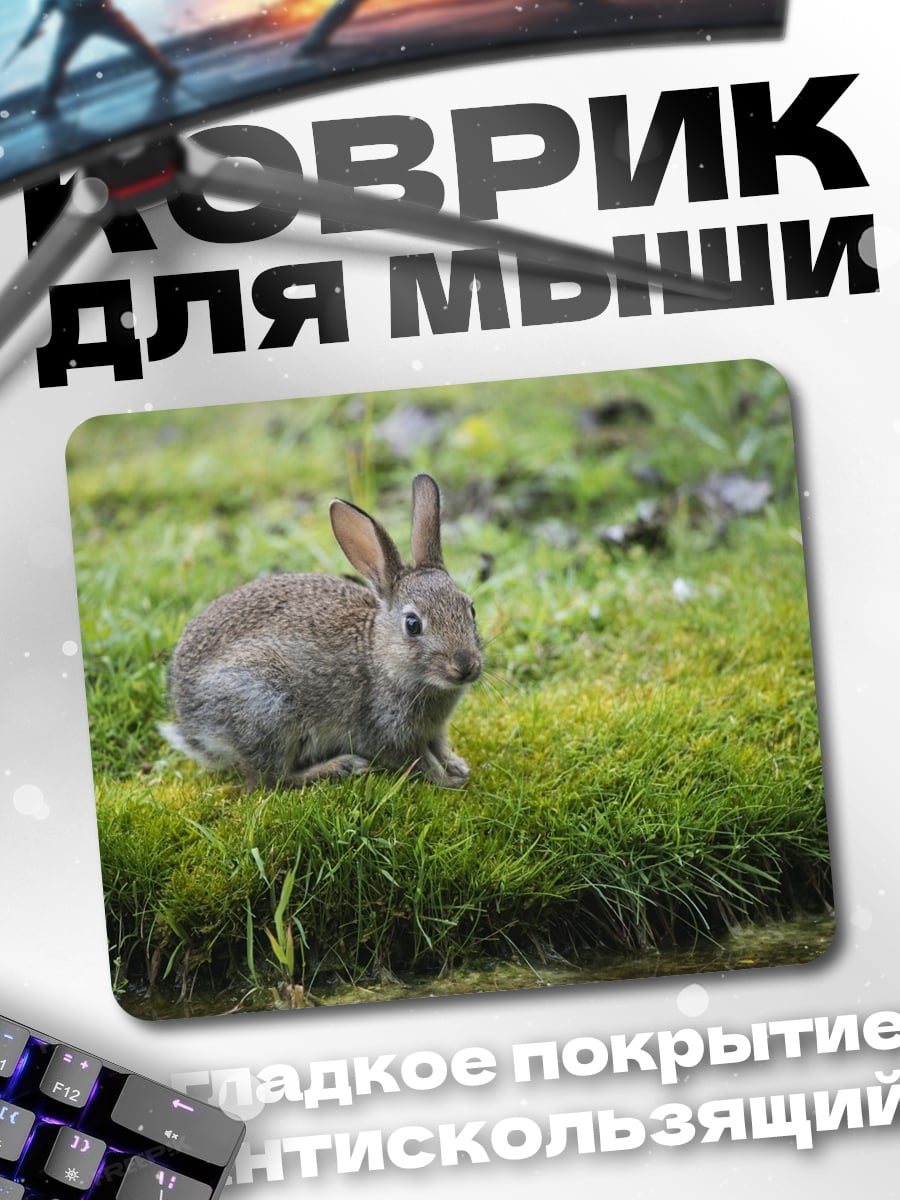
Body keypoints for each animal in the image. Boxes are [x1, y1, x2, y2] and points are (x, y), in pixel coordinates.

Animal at [160, 473, 483, 790]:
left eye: (471, 609)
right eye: (412, 624)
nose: (466, 666)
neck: (381, 658)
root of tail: (190, 720)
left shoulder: (433, 730)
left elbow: (439, 746)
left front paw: (457, 766)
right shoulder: (385, 731)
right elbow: (419, 760)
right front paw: (448, 780)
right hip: (265, 710)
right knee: (269, 780)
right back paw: (341, 766)